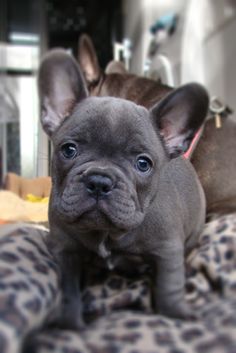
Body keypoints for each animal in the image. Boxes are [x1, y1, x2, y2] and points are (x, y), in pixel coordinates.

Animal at [38, 48, 208, 328]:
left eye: (143, 164)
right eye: (68, 150)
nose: (99, 181)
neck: (106, 233)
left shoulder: (167, 250)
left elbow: (169, 286)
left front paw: (176, 312)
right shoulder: (66, 250)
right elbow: (68, 288)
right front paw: (68, 322)